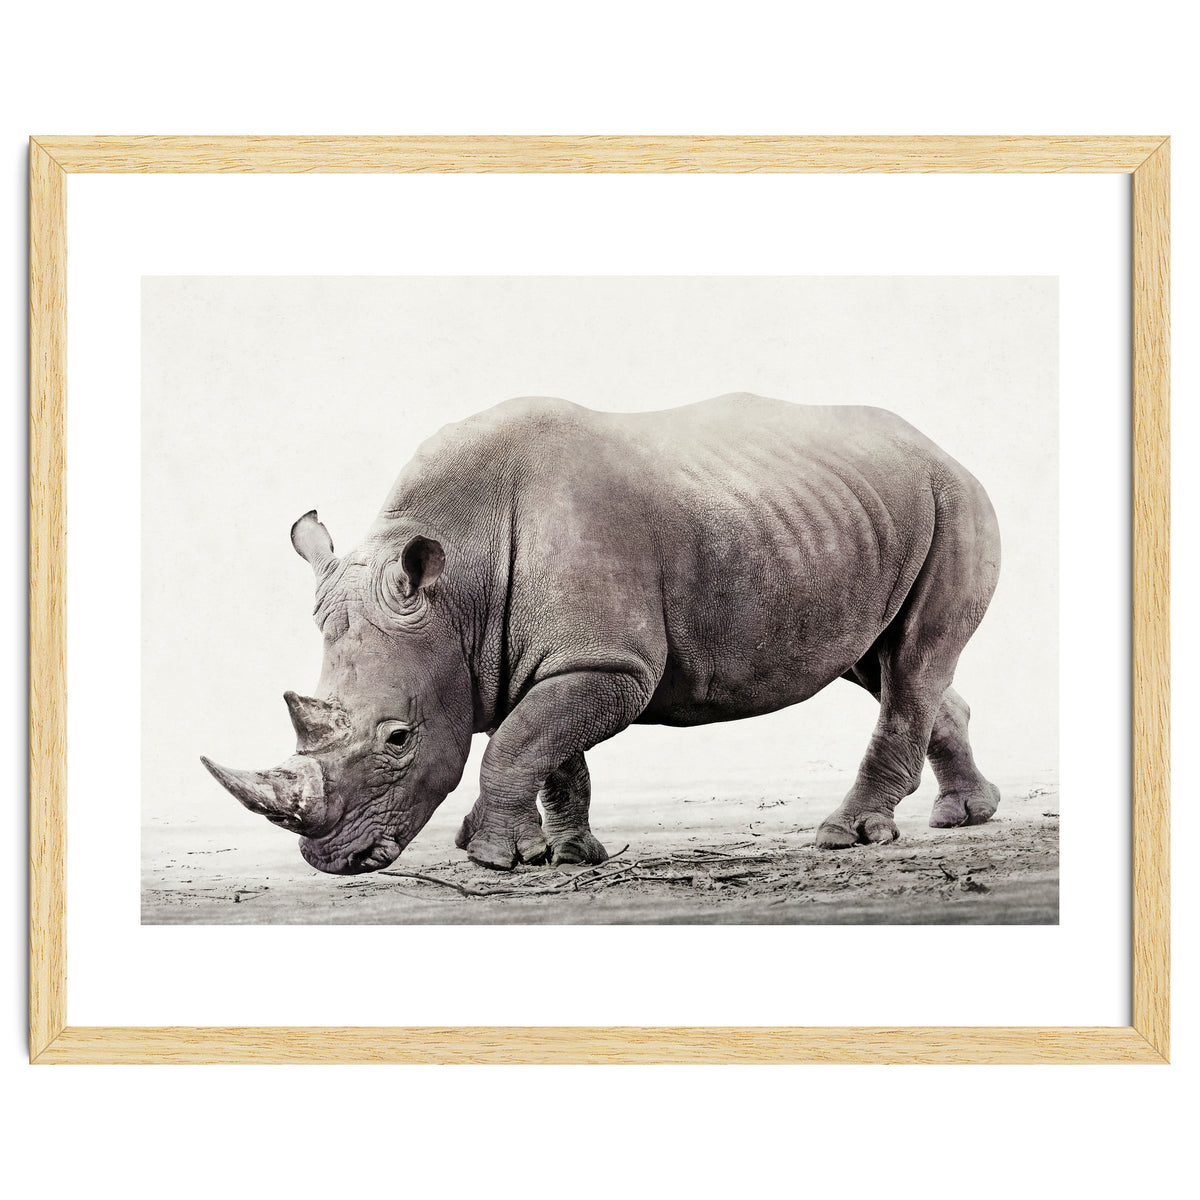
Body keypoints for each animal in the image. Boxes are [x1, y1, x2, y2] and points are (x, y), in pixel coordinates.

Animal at [202, 393, 1001, 874]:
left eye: (398, 739)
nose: (332, 860)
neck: (459, 587)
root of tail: (939, 446)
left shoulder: (608, 662)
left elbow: (520, 741)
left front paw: (493, 859)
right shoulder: (557, 658)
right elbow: (551, 750)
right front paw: (571, 854)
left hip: (955, 501)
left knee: (911, 662)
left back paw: (848, 836)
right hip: (852, 516)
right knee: (882, 663)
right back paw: (965, 816)